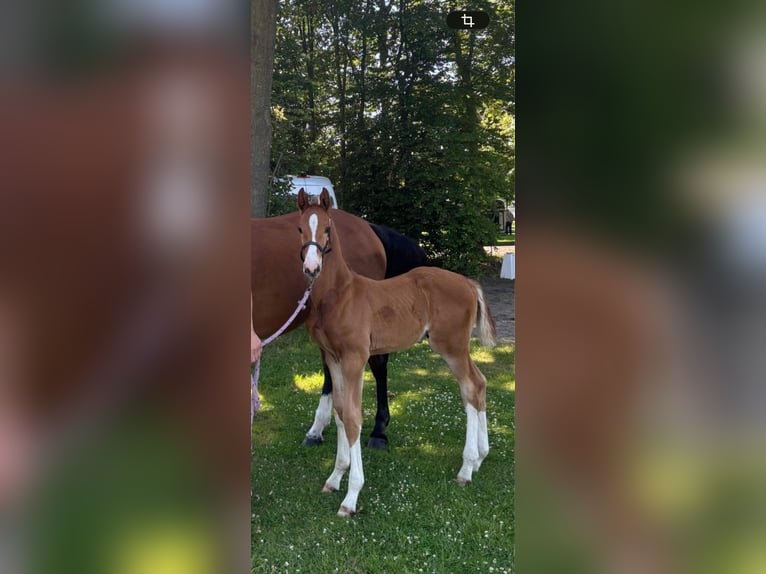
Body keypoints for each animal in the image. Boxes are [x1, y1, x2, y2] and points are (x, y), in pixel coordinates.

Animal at [295, 188, 497, 516]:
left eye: (327, 228)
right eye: (300, 229)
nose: (311, 268)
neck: (339, 294)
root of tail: (467, 282)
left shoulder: (355, 358)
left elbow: (353, 418)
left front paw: (351, 496)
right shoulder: (333, 358)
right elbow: (339, 412)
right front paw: (335, 478)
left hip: (451, 345)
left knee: (470, 387)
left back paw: (467, 467)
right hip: (457, 347)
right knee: (479, 384)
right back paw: (479, 457)